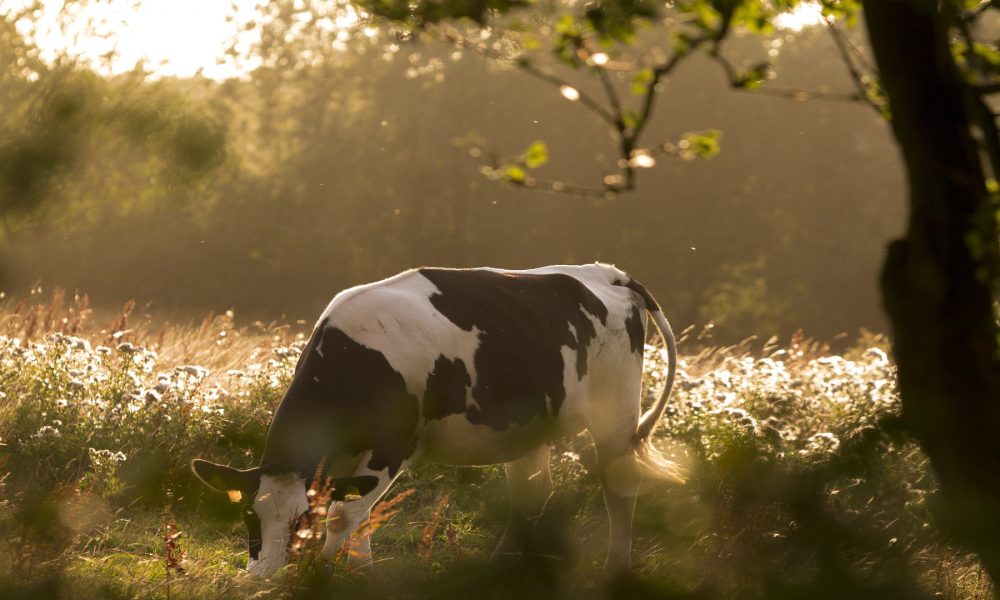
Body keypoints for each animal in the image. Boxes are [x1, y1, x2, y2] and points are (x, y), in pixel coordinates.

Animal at [190, 264, 676, 580]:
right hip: (528, 427)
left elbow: (345, 515)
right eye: (249, 516)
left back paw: (616, 567)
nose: (262, 579)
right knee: (533, 492)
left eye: (300, 522)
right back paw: (502, 567)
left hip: (615, 413)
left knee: (618, 485)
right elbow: (356, 515)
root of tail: (607, 272)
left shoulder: (392, 445)